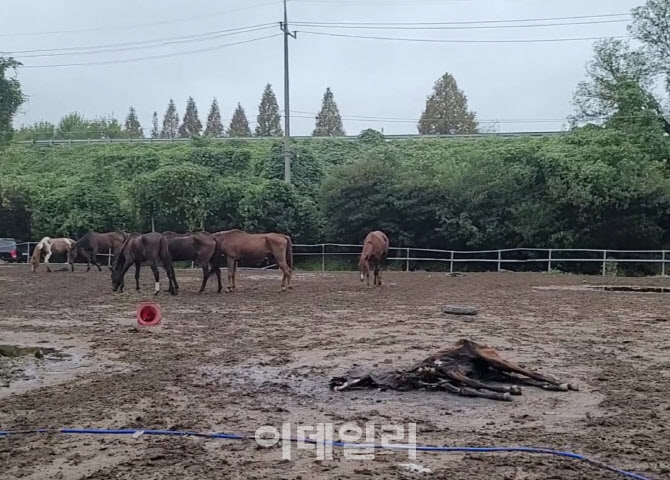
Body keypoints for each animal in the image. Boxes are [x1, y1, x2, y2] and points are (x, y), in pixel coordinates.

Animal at [330, 338, 576, 402]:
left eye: (349, 373)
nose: (332, 382)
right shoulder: (448, 384)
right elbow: (471, 389)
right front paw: (506, 393)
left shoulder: (452, 372)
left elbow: (475, 384)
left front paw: (506, 393)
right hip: (494, 370)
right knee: (526, 379)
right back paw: (554, 386)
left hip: (497, 362)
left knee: (531, 373)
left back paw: (563, 383)